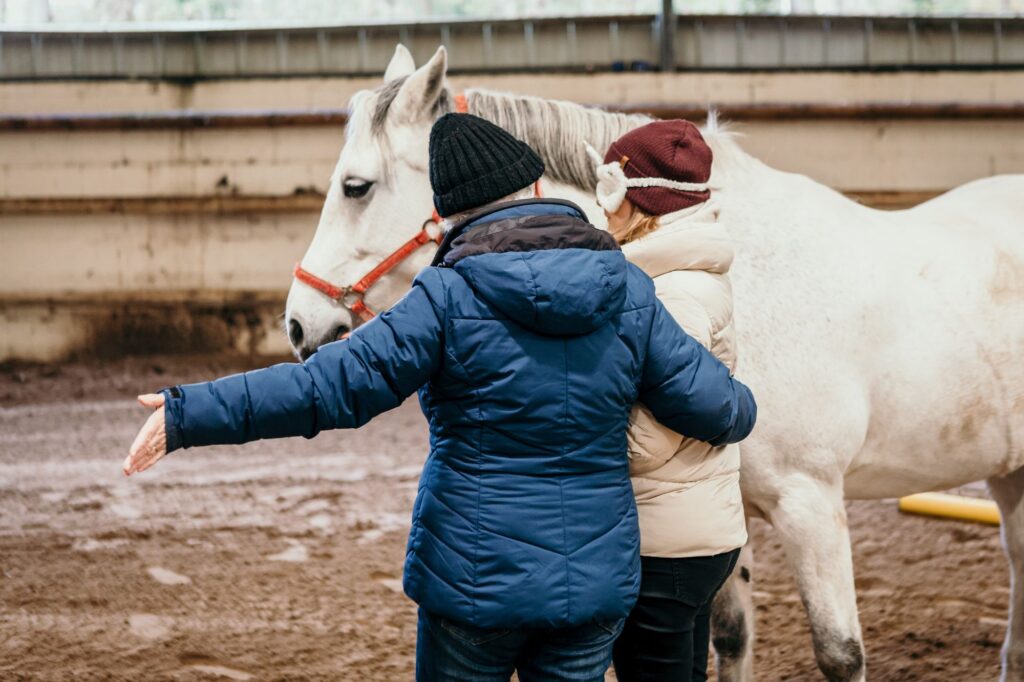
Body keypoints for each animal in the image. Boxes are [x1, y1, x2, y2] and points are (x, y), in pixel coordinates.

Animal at [284, 45, 1024, 675]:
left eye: (356, 186)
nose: (297, 322)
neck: (731, 274)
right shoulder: (727, 510)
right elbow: (730, 638)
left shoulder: (810, 501)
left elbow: (840, 655)